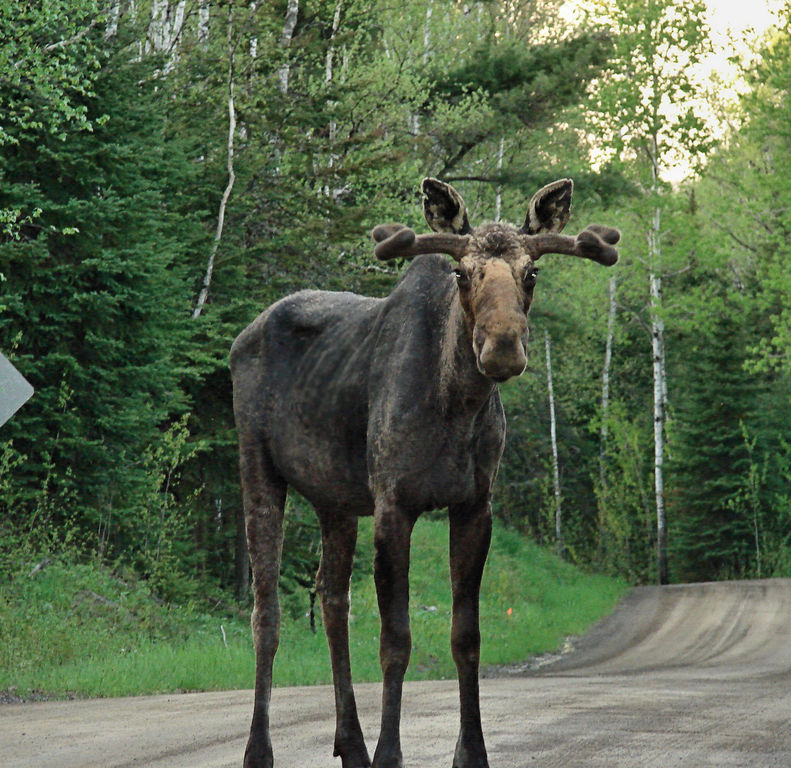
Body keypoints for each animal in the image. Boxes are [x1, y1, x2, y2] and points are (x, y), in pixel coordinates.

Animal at [230, 177, 619, 768]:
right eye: (461, 272)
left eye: (532, 272)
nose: (503, 346)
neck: (457, 407)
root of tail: (239, 339)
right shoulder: (394, 504)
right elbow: (396, 640)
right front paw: (391, 753)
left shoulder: (474, 505)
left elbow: (466, 636)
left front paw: (471, 752)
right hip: (258, 467)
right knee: (266, 611)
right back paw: (261, 750)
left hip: (335, 498)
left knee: (332, 598)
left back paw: (350, 743)